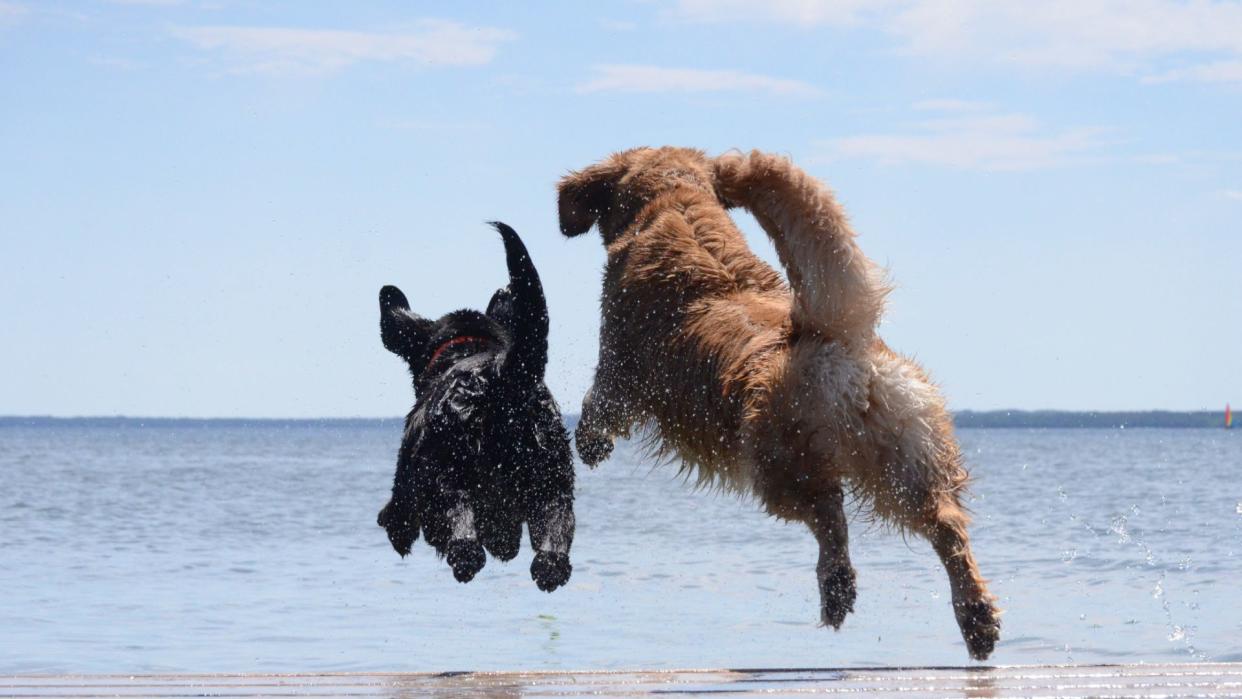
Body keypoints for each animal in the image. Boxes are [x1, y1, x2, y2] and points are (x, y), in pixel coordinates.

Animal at [375, 223, 573, 590]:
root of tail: (500, 375)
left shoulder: (407, 476)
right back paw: (546, 565)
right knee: (554, 538)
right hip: (553, 475)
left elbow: (400, 514)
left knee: (463, 533)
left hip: (448, 468)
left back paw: (466, 556)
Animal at [558, 147, 1003, 660]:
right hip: (906, 455)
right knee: (947, 525)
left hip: (778, 466)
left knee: (830, 516)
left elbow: (599, 405)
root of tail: (832, 336)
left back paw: (837, 589)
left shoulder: (619, 365)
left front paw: (590, 444)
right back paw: (977, 617)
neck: (676, 204)